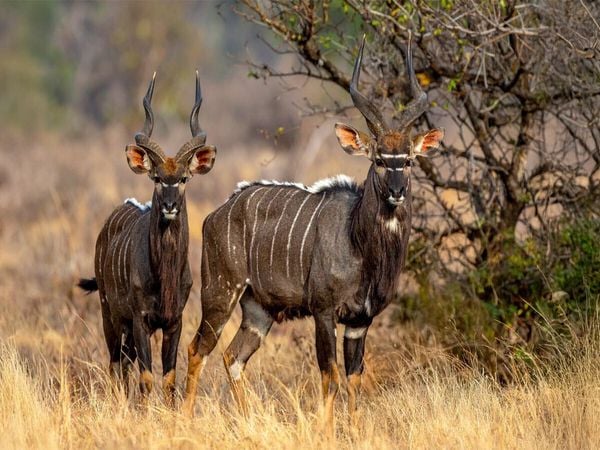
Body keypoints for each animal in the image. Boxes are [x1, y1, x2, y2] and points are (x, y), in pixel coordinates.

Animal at [78, 72, 216, 401]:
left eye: (184, 178)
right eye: (156, 177)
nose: (169, 206)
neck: (163, 274)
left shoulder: (174, 321)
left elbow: (168, 378)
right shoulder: (140, 318)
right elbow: (146, 378)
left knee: (124, 364)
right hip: (110, 316)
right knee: (116, 365)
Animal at [183, 35, 443, 433]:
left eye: (409, 160)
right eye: (379, 159)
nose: (397, 192)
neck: (359, 243)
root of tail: (217, 213)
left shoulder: (359, 321)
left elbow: (354, 378)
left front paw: (354, 432)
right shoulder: (323, 311)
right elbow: (329, 376)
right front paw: (326, 432)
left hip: (259, 310)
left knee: (233, 356)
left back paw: (247, 421)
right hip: (220, 295)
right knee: (199, 350)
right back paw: (182, 421)